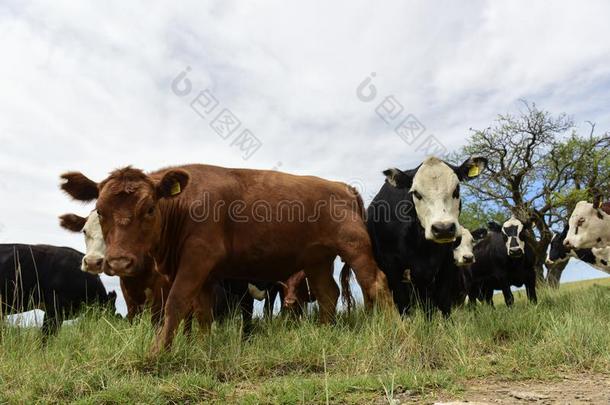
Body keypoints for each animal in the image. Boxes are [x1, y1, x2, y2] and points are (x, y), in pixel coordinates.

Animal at [60, 164, 390, 354]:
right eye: (100, 211)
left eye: (150, 208)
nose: (118, 262)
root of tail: (342, 186)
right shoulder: (204, 274)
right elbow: (202, 312)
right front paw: (203, 348)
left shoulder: (197, 258)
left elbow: (176, 303)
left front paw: (158, 353)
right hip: (317, 258)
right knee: (327, 293)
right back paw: (323, 333)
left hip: (354, 245)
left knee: (376, 282)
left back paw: (393, 330)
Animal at [358, 156, 486, 318]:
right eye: (416, 193)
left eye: (456, 189)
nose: (443, 228)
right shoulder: (392, 266)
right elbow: (403, 302)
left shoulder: (446, 263)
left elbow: (443, 300)